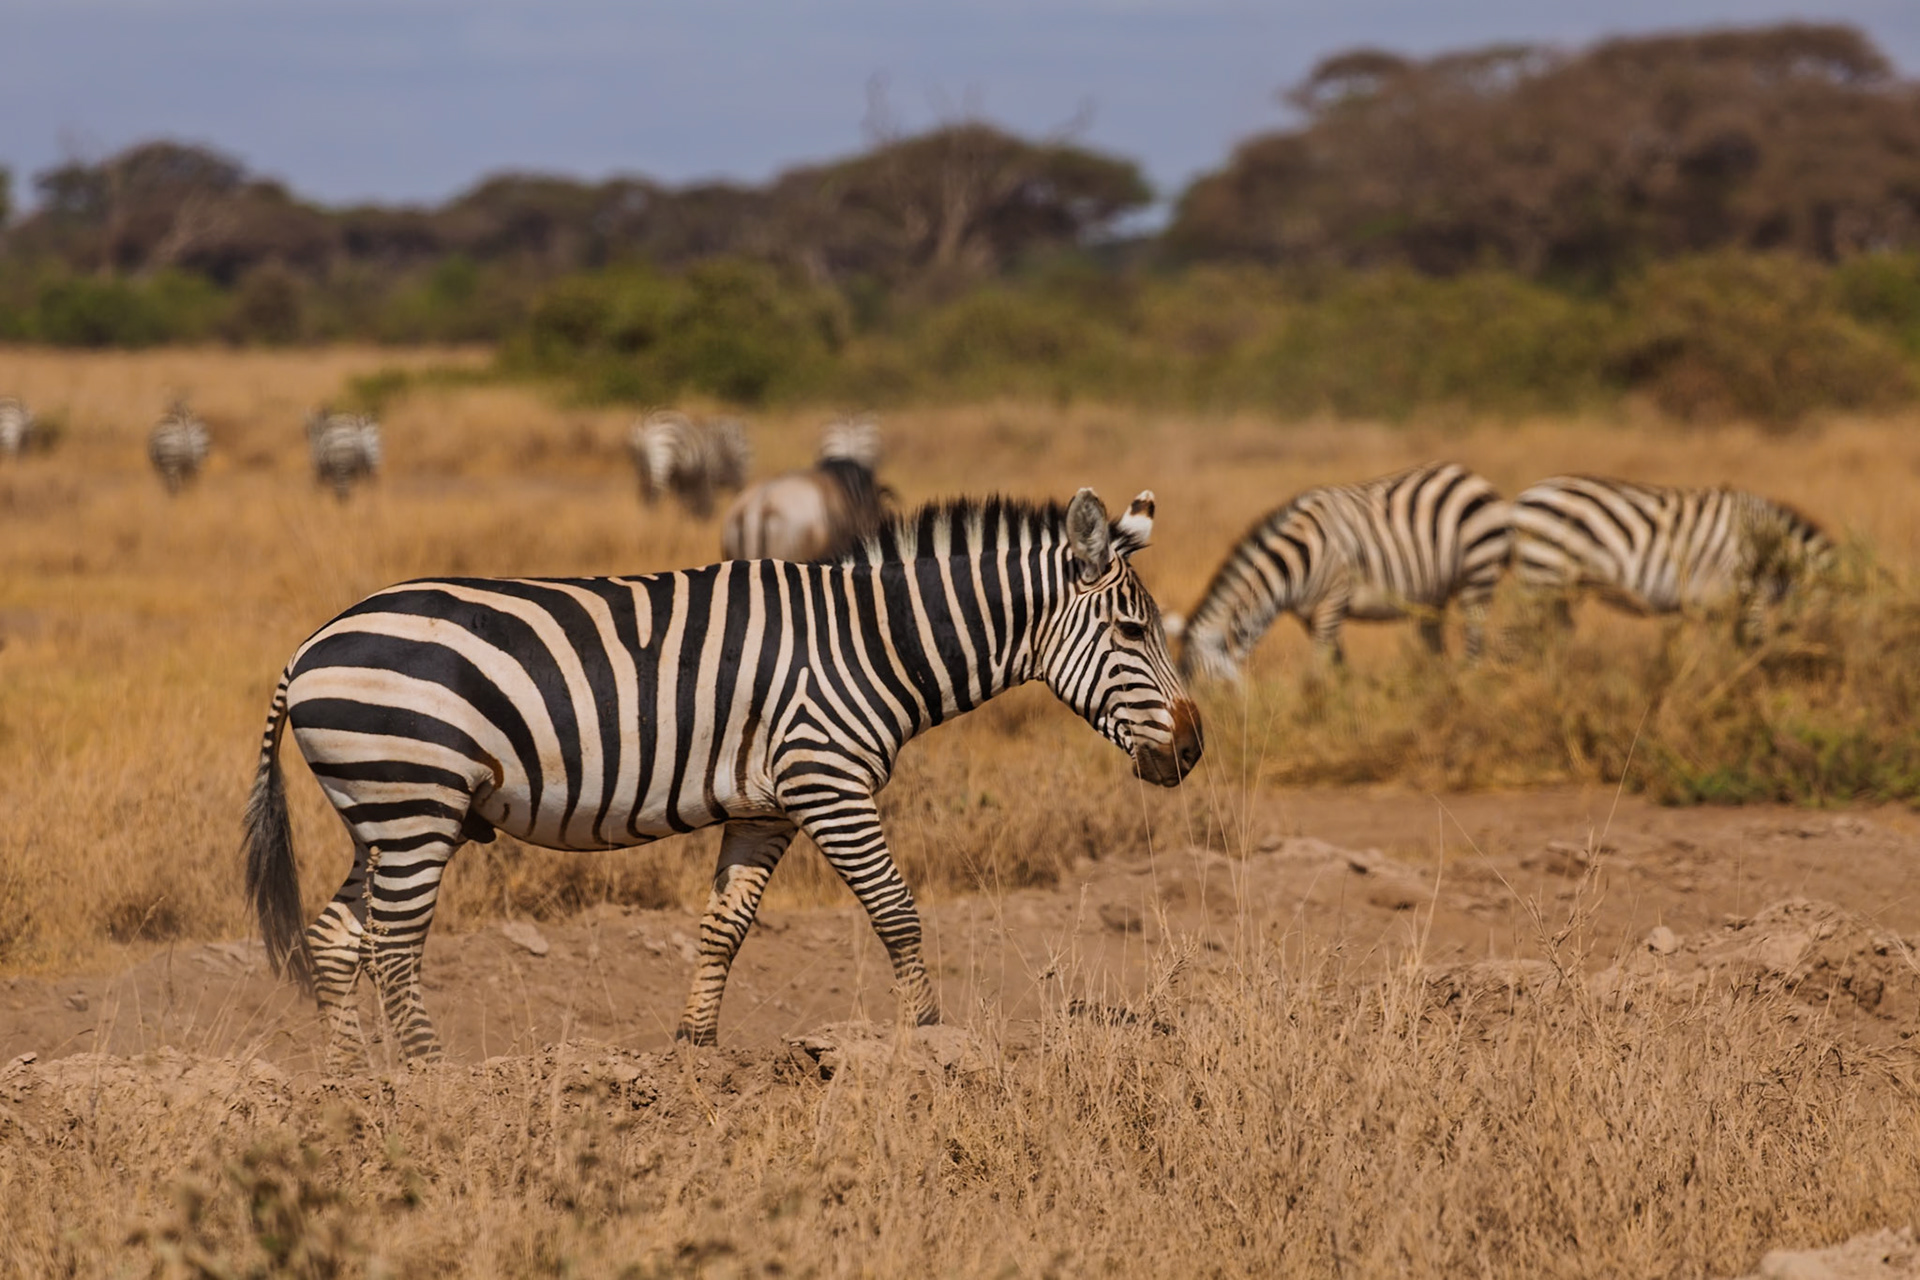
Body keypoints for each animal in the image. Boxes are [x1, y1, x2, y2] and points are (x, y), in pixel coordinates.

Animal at [244, 488, 1203, 1069]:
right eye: (1130, 630)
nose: (1193, 750)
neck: (872, 641)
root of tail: (306, 647)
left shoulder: (766, 808)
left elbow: (723, 929)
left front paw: (695, 1057)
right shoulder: (828, 780)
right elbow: (897, 911)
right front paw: (931, 1046)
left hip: (384, 812)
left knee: (339, 937)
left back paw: (354, 1085)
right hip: (416, 801)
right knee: (396, 943)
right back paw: (429, 1079)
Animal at [1177, 462, 1510, 681]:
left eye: (1205, 687)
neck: (1297, 560)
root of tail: (1473, 478)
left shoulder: (1333, 600)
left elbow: (1318, 667)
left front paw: (1318, 710)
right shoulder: (1310, 616)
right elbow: (1338, 663)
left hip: (1479, 569)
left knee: (1474, 636)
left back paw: (1468, 682)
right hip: (1435, 592)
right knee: (1434, 639)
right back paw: (1437, 683)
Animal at [1510, 476, 1832, 644]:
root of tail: (1524, 496)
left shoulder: (1719, 606)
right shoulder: (1743, 597)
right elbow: (1752, 652)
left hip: (1557, 589)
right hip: (1542, 577)